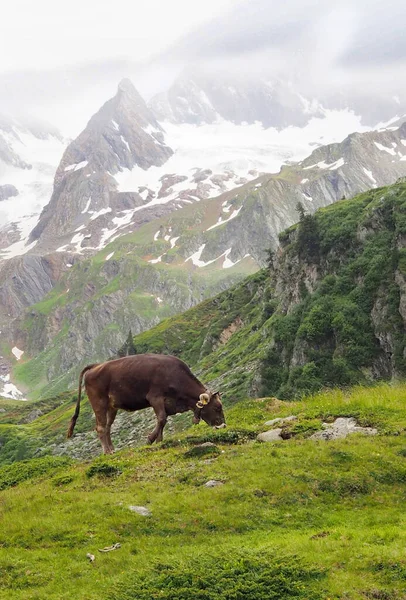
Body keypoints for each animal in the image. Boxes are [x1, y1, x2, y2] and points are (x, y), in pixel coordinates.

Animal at [67, 354, 225, 452]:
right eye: (217, 407)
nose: (223, 426)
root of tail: (95, 366)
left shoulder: (167, 404)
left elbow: (163, 421)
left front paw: (159, 440)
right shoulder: (155, 397)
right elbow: (161, 419)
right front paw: (150, 440)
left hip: (112, 407)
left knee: (107, 427)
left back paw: (112, 449)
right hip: (99, 402)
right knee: (100, 427)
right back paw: (107, 452)